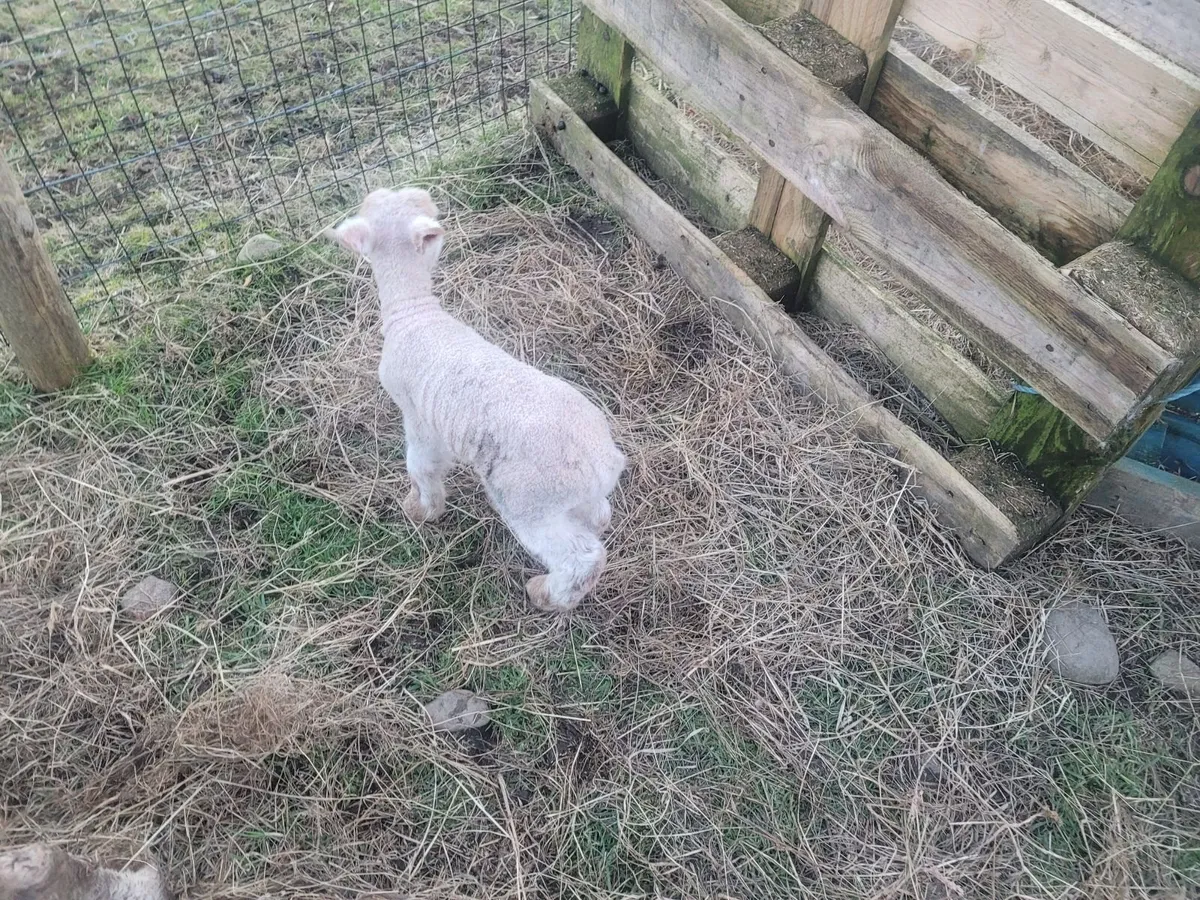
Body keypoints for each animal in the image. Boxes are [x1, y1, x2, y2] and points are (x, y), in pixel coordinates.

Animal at [326, 187, 625, 613]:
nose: (426, 194)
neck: (414, 314)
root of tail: (605, 459)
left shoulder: (416, 414)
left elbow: (421, 464)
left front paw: (422, 509)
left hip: (528, 500)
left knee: (581, 556)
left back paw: (545, 593)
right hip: (573, 498)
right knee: (599, 516)